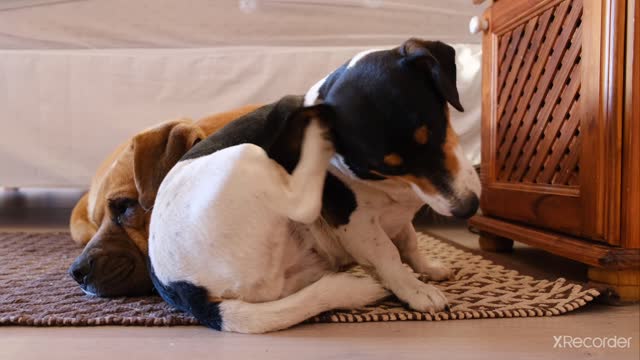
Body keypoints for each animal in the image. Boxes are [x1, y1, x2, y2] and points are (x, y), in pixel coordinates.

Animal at [150, 38, 480, 334]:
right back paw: (316, 134)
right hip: (246, 154)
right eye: (388, 165)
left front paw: (428, 268)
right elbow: (389, 256)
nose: (469, 208)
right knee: (302, 206)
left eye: (437, 128)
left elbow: (409, 241)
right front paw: (414, 289)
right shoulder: (357, 226)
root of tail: (186, 292)